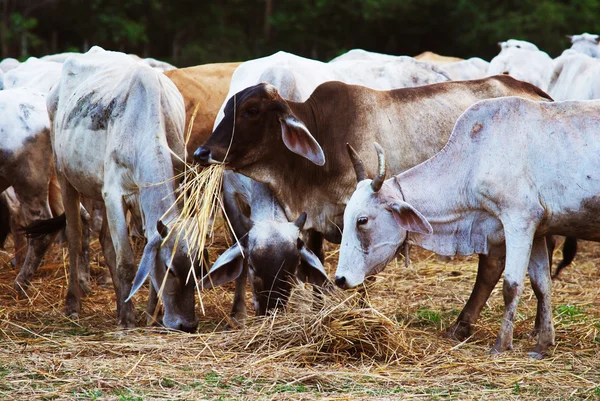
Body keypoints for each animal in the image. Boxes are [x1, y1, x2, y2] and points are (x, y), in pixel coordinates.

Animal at [204, 170, 330, 320]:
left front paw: (309, 307)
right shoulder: (230, 193)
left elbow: (315, 254)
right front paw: (238, 316)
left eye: (293, 269)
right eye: (252, 267)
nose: (271, 312)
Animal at [336, 96, 600, 356]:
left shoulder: (519, 221)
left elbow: (511, 286)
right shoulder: (537, 230)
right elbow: (541, 285)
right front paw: (543, 345)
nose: (340, 279)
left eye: (362, 220)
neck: (474, 160)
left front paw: (501, 345)